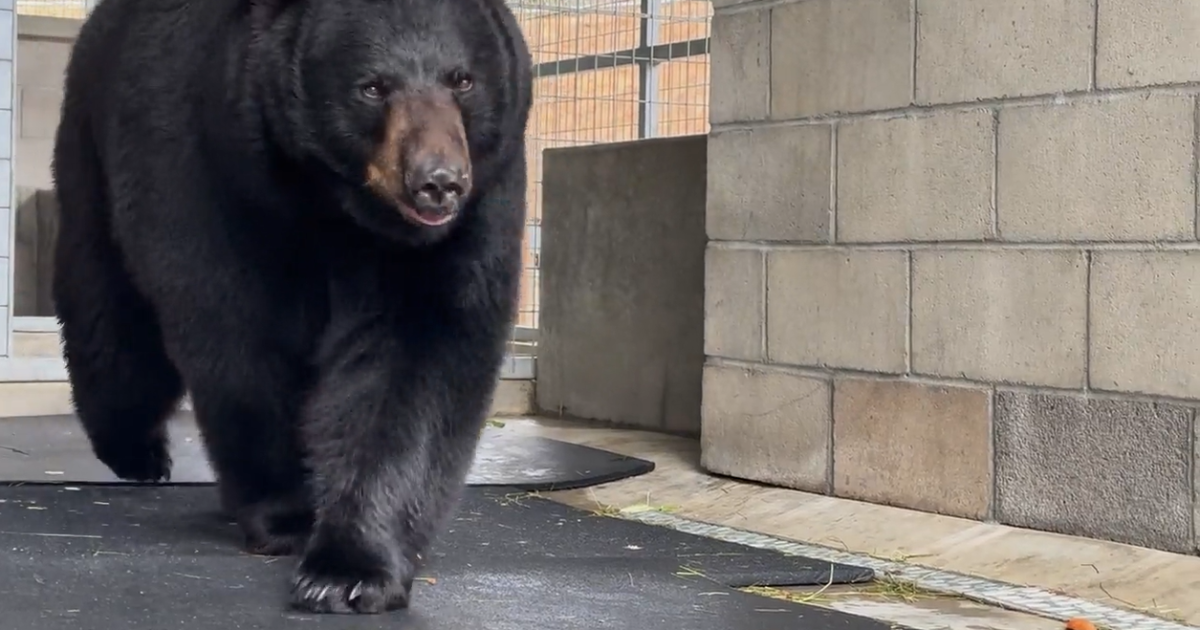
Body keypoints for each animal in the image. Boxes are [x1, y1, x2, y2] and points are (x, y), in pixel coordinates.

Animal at [49, 0, 532, 615]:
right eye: (373, 87)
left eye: (463, 79)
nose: (438, 182)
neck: (331, 205)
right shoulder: (218, 172)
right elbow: (239, 337)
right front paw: (287, 516)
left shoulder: (469, 212)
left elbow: (421, 356)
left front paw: (351, 567)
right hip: (93, 143)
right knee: (107, 303)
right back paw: (135, 450)